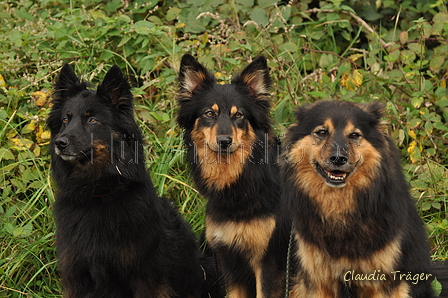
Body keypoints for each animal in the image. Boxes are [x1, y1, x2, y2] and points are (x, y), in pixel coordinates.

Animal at [48, 64, 216, 298]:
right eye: (66, 119)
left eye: (92, 120)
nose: (59, 143)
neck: (96, 191)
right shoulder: (78, 275)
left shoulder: (144, 275)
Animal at [262, 100, 434, 298]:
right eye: (322, 132)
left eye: (354, 135)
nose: (338, 159)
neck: (339, 208)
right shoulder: (318, 280)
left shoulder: (384, 282)